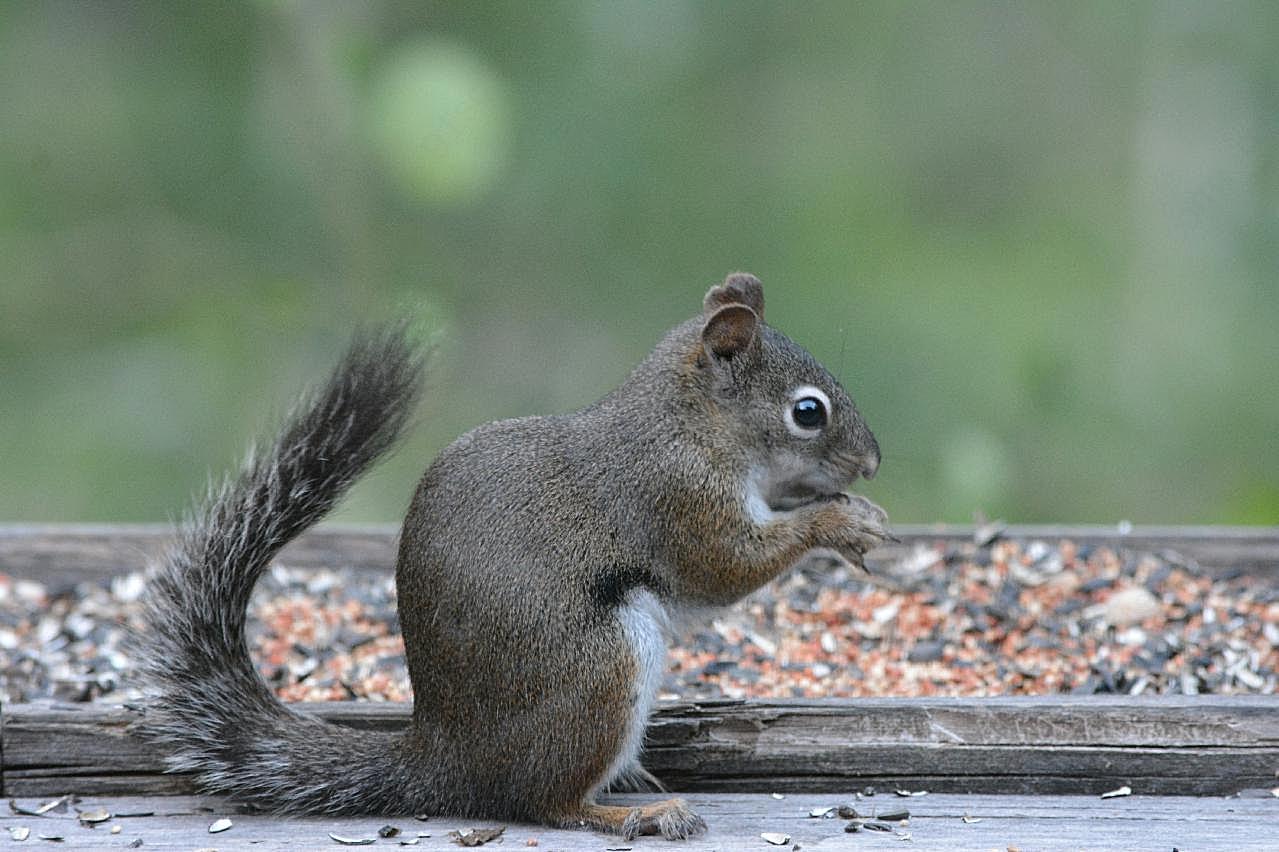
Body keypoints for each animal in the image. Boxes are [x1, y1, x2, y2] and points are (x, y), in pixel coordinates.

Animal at [132, 272, 890, 834]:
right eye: (807, 412)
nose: (873, 464)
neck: (691, 423)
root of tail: (446, 760)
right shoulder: (675, 498)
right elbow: (725, 567)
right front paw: (840, 522)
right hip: (599, 672)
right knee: (544, 803)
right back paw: (635, 814)